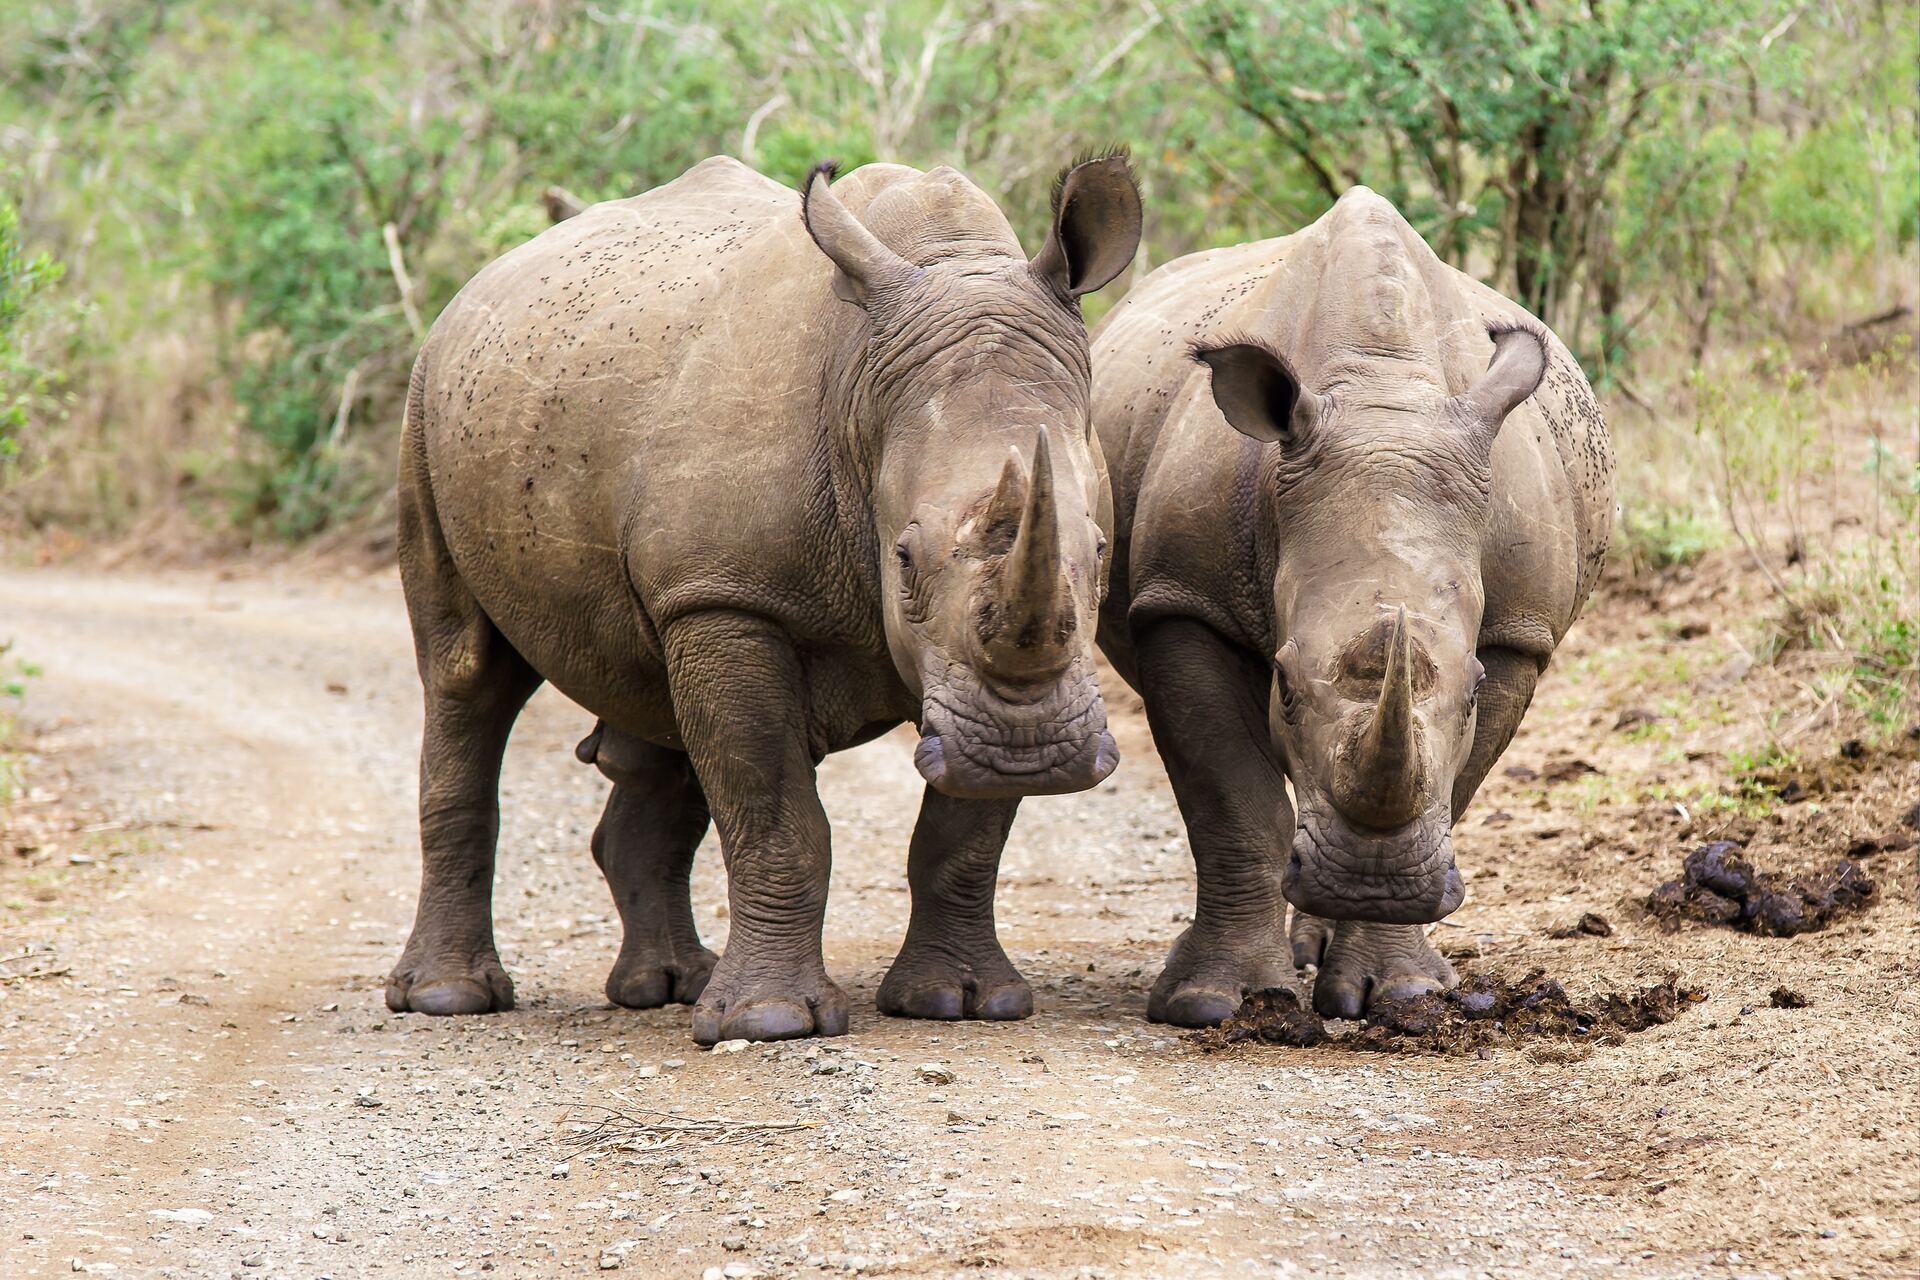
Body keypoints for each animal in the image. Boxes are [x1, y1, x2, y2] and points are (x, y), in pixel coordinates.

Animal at [388, 153, 1142, 1042]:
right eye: (903, 559)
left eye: (1101, 554)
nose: (1031, 752)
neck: (861, 393)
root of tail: (471, 288)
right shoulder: (728, 598)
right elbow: (775, 808)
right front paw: (771, 1020)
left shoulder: (1003, 678)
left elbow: (965, 831)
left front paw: (962, 1002)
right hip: (426, 402)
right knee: (466, 676)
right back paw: (447, 999)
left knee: (655, 712)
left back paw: (666, 986)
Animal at [1092, 188, 1614, 1023]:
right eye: (1284, 685)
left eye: (1474, 691)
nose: (1375, 882)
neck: (1382, 397)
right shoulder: (1184, 599)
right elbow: (1233, 801)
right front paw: (1217, 1002)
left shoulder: (1515, 634)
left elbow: (1451, 784)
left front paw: (1399, 990)